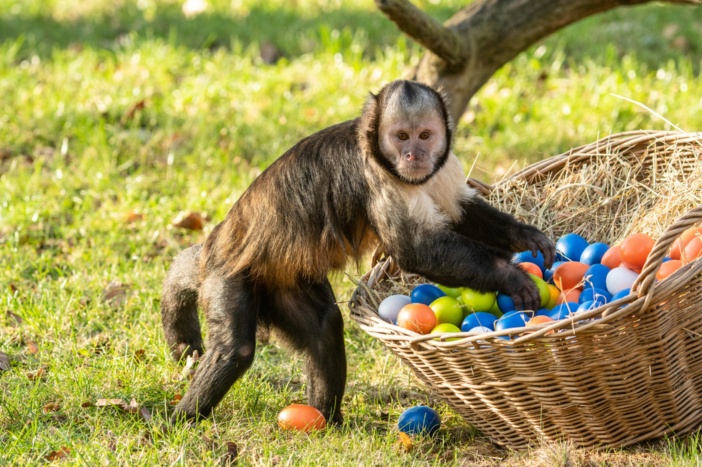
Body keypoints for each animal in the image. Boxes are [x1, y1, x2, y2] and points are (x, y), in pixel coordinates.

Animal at [162, 79, 560, 424]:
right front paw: (512, 278)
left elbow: (460, 213)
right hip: (228, 273)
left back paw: (325, 419)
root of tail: (220, 239)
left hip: (278, 281)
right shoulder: (374, 175)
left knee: (324, 326)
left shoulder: (441, 165)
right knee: (236, 348)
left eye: (425, 135)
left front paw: (527, 237)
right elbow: (416, 251)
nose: (413, 154)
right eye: (400, 137)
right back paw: (179, 419)